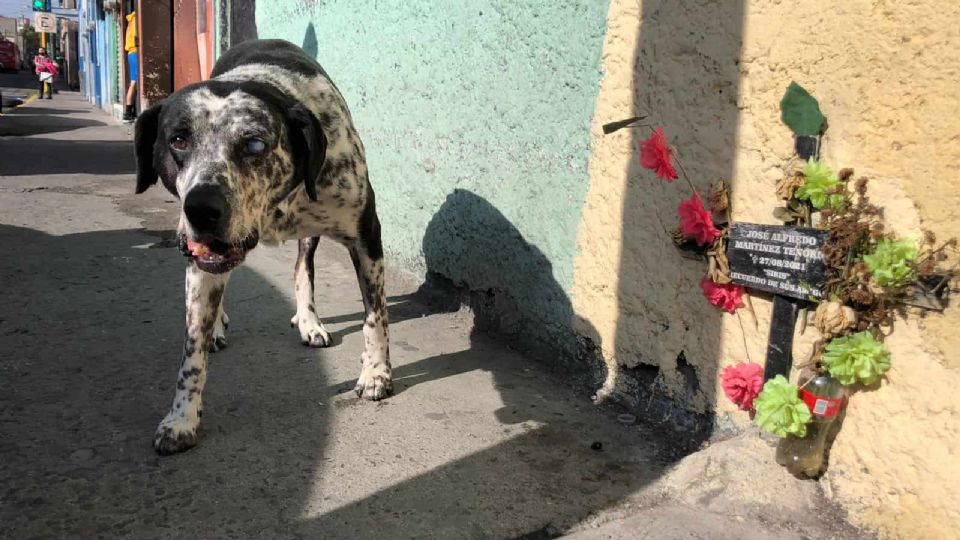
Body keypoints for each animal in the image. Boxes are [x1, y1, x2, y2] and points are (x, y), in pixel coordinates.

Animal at [134, 39, 392, 455]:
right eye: (178, 140)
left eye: (254, 144)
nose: (201, 209)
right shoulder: (201, 264)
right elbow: (192, 353)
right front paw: (181, 418)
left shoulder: (366, 236)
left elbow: (375, 317)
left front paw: (376, 373)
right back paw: (218, 328)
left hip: (311, 235)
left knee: (302, 269)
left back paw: (309, 321)